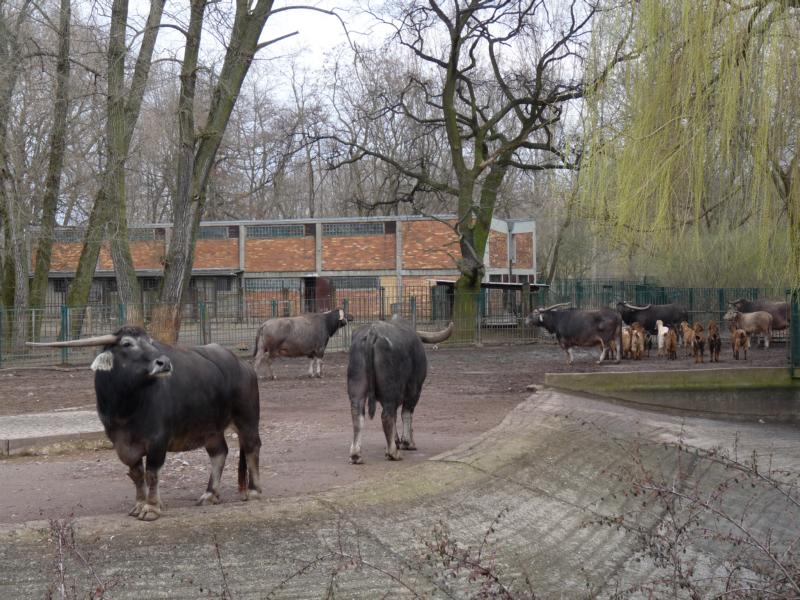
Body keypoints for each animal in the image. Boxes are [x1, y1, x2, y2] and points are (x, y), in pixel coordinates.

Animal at [28, 326, 262, 521]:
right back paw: (210, 494)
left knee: (252, 447)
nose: (164, 363)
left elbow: (152, 473)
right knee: (219, 453)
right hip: (210, 429)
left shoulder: (158, 440)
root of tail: (244, 366)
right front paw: (139, 504)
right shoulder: (121, 443)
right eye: (127, 343)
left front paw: (151, 508)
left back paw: (253, 491)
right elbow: (137, 474)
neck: (125, 407)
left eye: (150, 341)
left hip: (247, 418)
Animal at [347, 318, 454, 464]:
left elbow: (396, 416)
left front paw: (397, 440)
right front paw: (408, 442)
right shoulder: (414, 389)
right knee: (387, 416)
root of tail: (373, 333)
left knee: (358, 415)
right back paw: (393, 453)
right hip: (393, 391)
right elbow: (406, 413)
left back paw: (356, 455)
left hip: (357, 388)